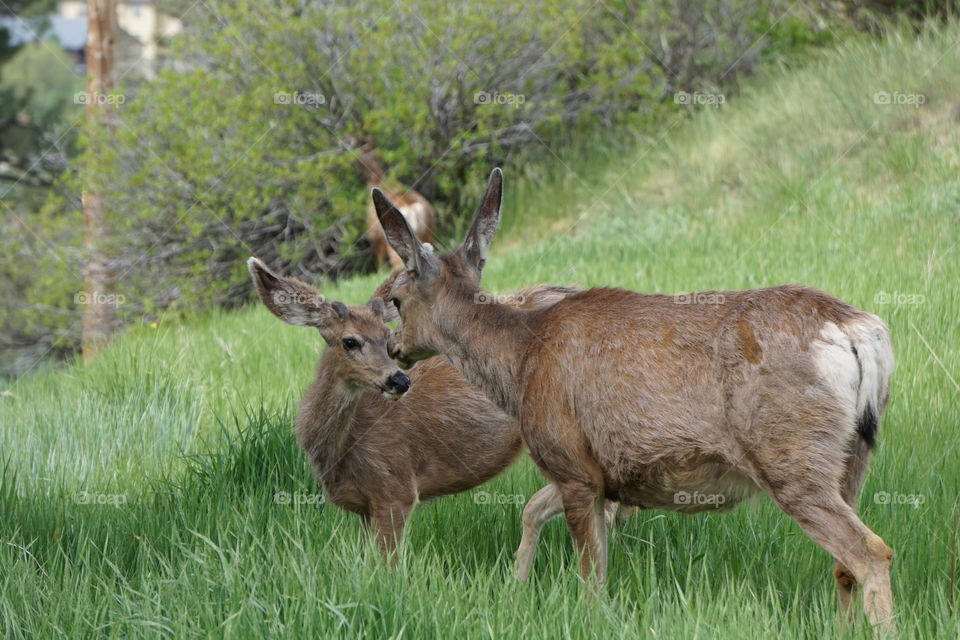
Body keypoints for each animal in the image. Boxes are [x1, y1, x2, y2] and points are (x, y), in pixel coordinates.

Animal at [251, 256, 620, 568]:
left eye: (386, 335)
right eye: (349, 341)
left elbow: (387, 568)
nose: (399, 380)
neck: (344, 449)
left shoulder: (395, 485)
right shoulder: (363, 507)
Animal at [372, 169, 896, 632]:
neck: (520, 362)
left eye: (396, 300)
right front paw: (515, 589)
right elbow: (534, 510)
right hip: (851, 455)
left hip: (788, 452)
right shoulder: (601, 475)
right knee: (845, 564)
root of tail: (858, 332)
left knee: (870, 552)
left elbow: (591, 579)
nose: (394, 352)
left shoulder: (571, 463)